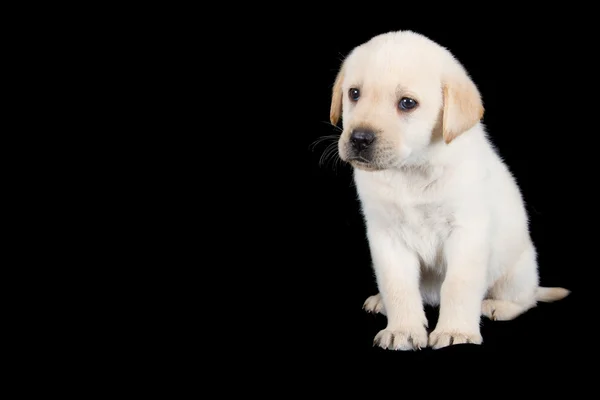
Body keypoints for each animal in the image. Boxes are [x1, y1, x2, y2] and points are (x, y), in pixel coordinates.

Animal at [330, 30, 568, 350]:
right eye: (354, 94)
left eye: (407, 103)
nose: (359, 138)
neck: (412, 171)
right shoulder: (386, 236)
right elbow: (397, 286)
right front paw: (403, 329)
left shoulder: (467, 232)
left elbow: (458, 285)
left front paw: (457, 332)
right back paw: (382, 302)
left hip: (517, 271)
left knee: (526, 299)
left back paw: (499, 306)